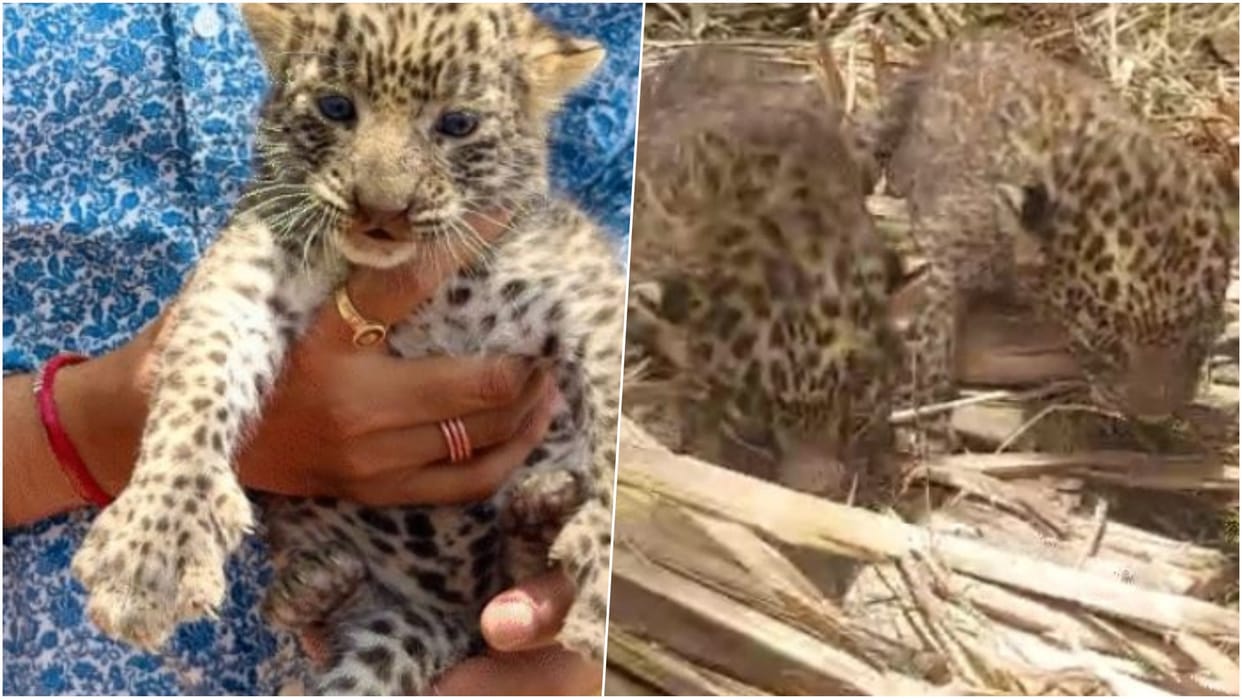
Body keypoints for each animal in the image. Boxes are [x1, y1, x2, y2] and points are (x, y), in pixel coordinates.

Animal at [68, 4, 625, 694]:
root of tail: (447, 612)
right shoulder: (254, 263)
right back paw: (315, 586)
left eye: (457, 125)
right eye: (336, 108)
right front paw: (154, 548)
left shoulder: (583, 286)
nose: (382, 212)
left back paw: (543, 516)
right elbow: (202, 375)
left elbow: (614, 418)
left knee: (509, 583)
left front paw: (605, 574)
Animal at [868, 34, 1237, 432]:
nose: (1153, 416)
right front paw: (927, 420)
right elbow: (934, 334)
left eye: (1198, 336)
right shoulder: (952, 250)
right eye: (1107, 343)